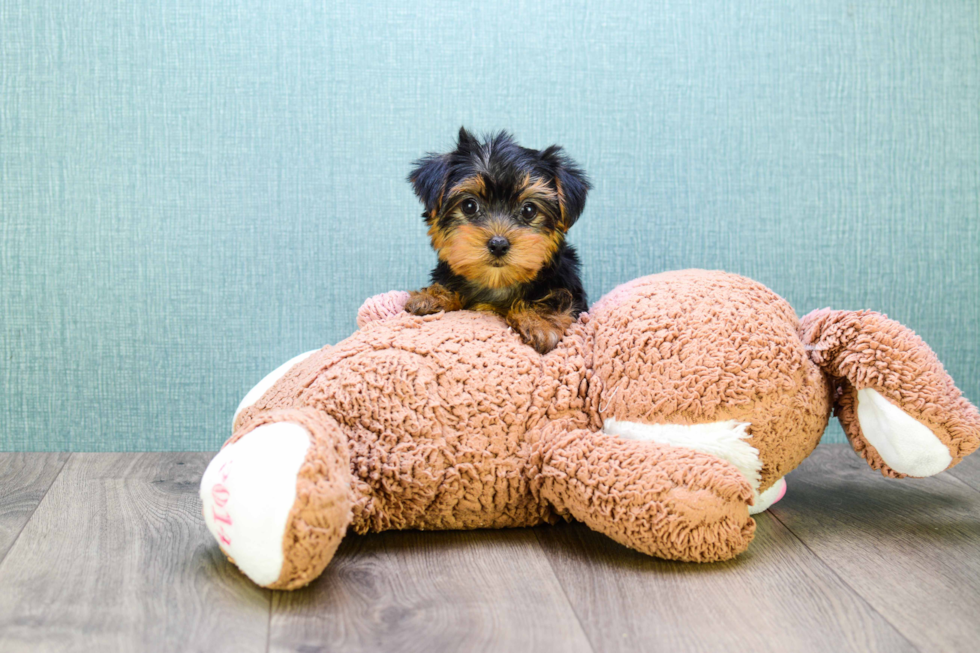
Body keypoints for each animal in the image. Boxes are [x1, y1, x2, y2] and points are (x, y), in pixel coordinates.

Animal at [406, 126, 588, 352]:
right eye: (469, 206)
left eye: (529, 210)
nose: (499, 245)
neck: (497, 284)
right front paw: (432, 297)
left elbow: (558, 295)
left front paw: (540, 322)